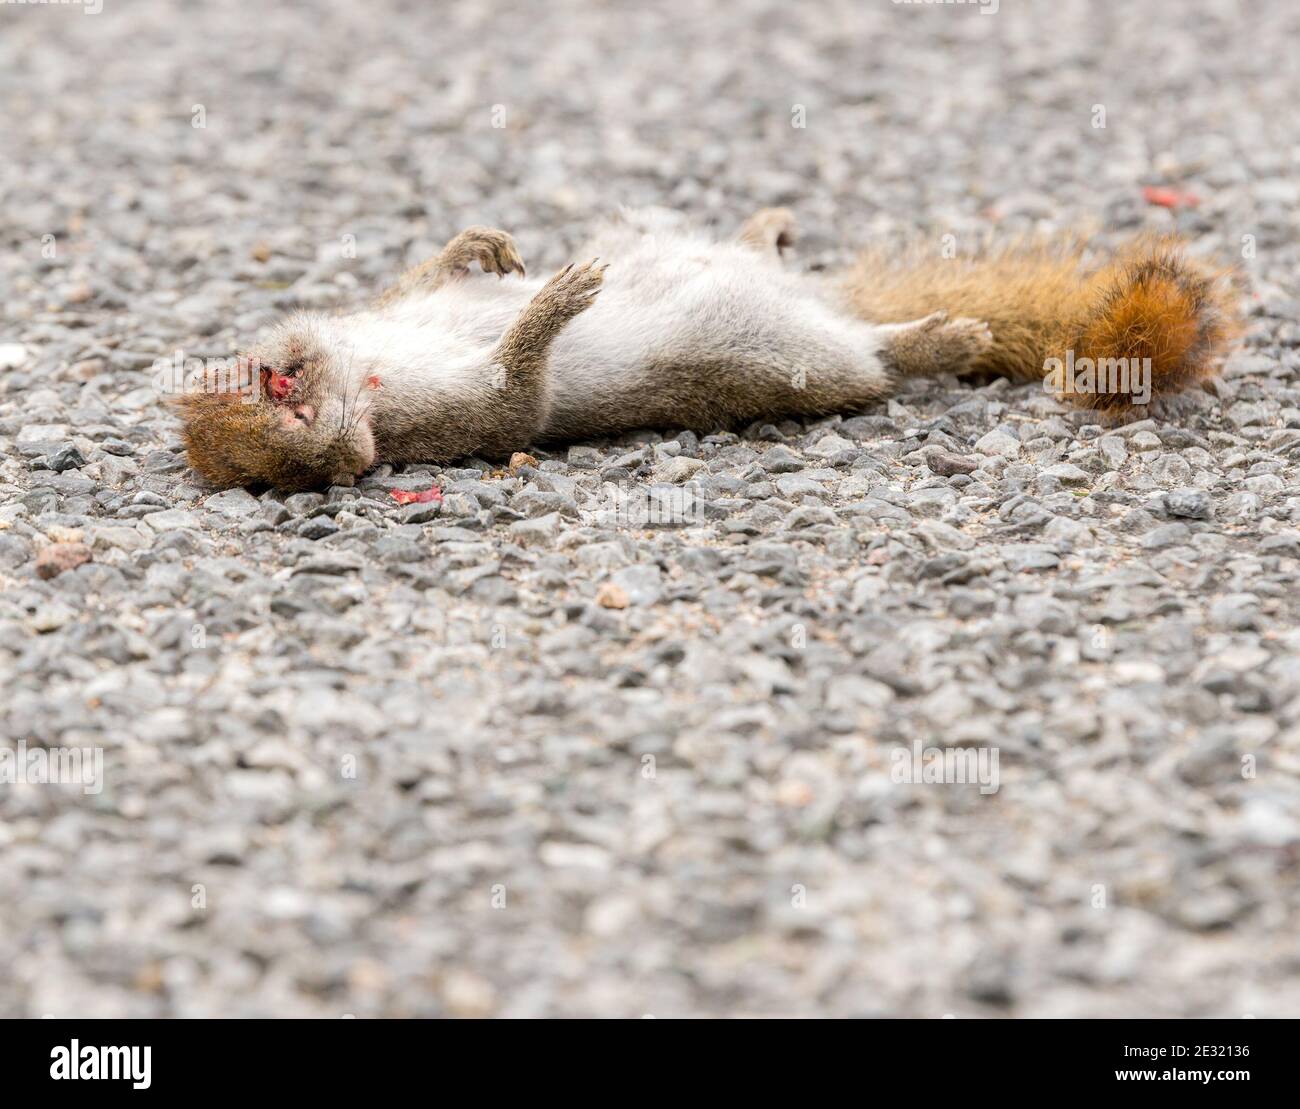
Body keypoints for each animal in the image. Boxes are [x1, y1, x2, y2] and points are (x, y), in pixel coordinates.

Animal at [174, 207, 1239, 491]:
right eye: (298, 465)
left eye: (272, 379)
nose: (338, 431)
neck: (375, 367)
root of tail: (827, 307)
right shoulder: (465, 422)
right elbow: (519, 396)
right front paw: (554, 303)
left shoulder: (392, 306)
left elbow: (431, 271)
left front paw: (487, 247)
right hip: (813, 362)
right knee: (883, 360)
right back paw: (943, 334)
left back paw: (769, 227)